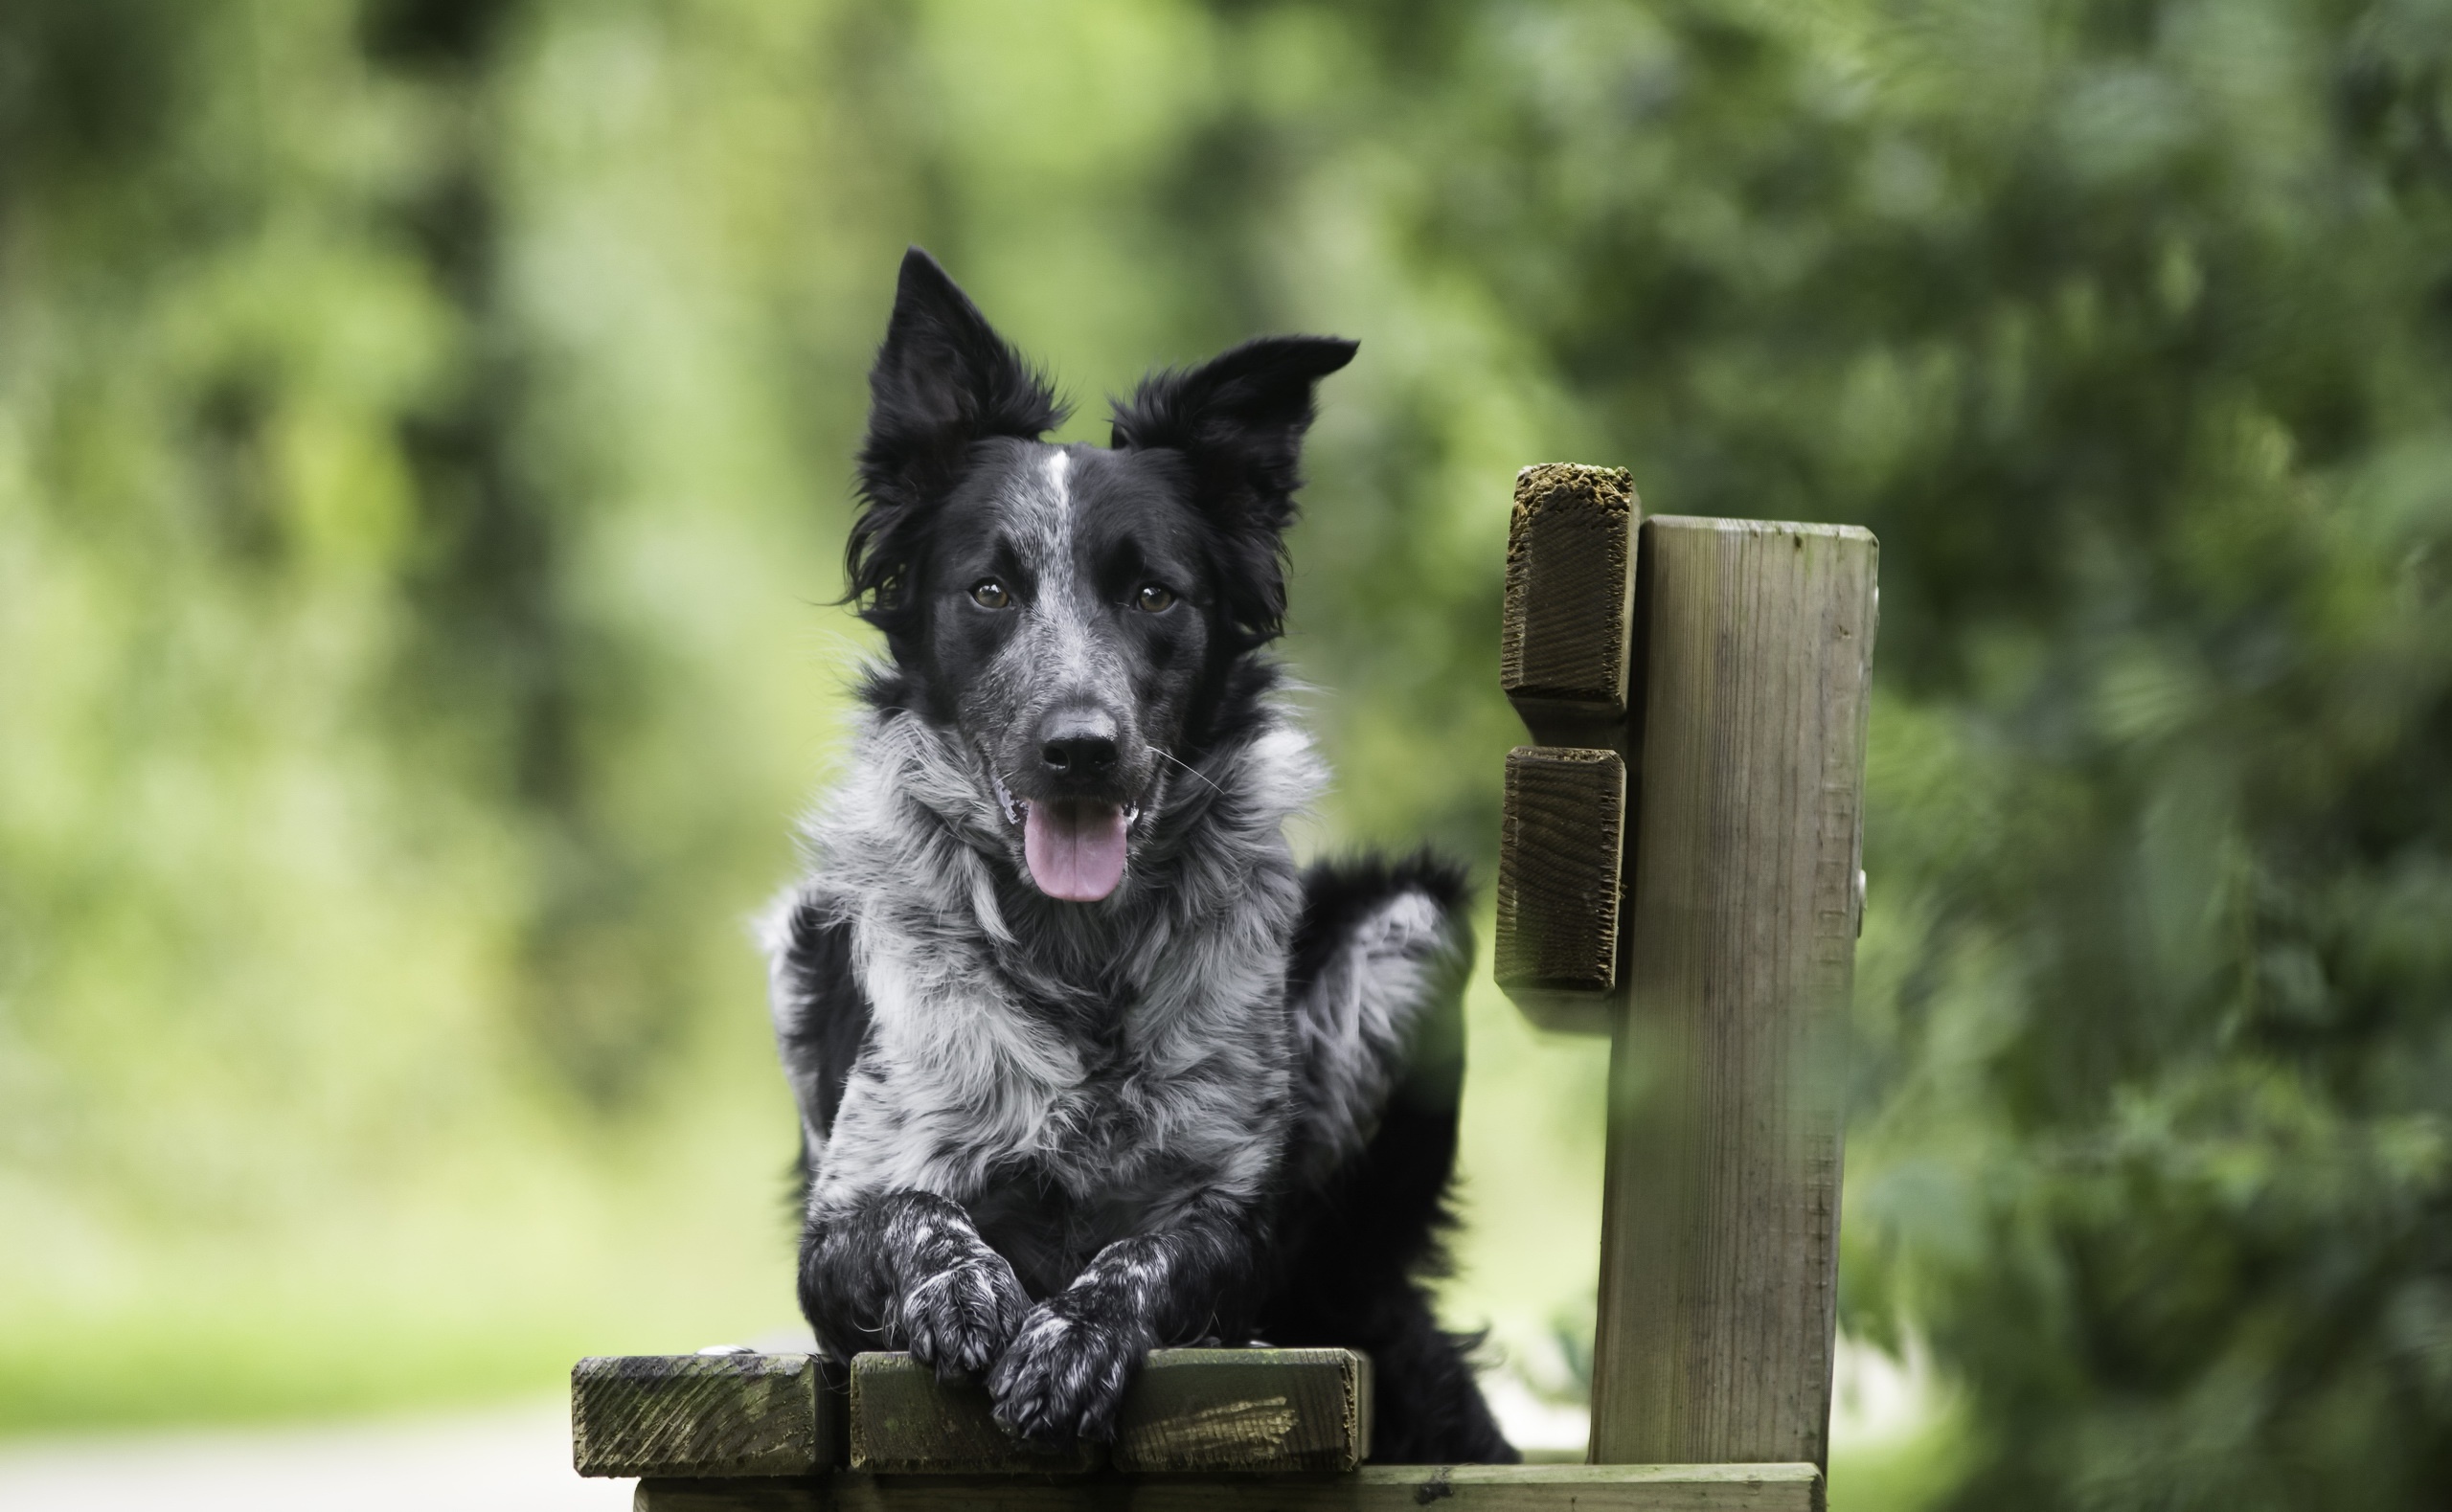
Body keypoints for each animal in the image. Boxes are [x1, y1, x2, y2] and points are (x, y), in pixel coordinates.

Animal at [755, 251, 1510, 1460]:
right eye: (989, 590)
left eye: (1153, 593)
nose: (1080, 748)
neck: (1079, 954)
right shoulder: (841, 1221)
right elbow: (915, 1216)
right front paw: (969, 1291)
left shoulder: (1231, 1215)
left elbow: (1146, 1255)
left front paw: (1071, 1338)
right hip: (796, 939)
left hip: (1410, 921)